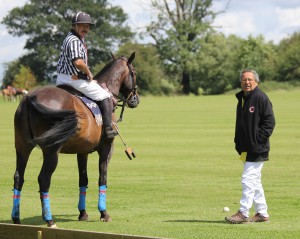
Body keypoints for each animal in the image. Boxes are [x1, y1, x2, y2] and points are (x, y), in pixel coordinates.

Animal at [11, 52, 139, 228]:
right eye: (134, 73)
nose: (135, 100)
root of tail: (30, 97)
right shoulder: (106, 148)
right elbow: (102, 177)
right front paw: (104, 213)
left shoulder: (82, 151)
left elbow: (83, 180)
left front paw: (83, 213)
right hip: (52, 150)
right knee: (44, 178)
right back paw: (49, 220)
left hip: (22, 146)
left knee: (18, 177)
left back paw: (16, 218)